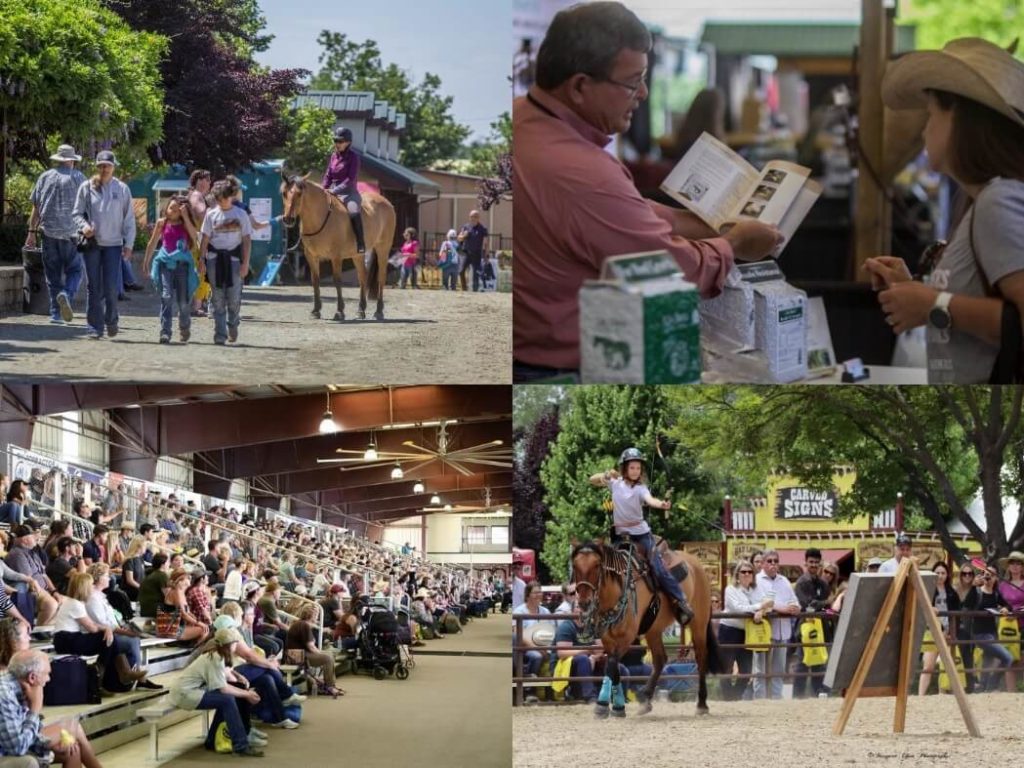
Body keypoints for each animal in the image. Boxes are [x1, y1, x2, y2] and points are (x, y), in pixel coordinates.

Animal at [280, 175, 395, 321]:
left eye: (299, 194)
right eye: (284, 193)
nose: (288, 219)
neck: (321, 216)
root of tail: (386, 202)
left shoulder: (336, 256)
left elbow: (337, 280)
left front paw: (340, 311)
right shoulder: (311, 256)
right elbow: (315, 280)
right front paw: (316, 310)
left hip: (382, 249)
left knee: (381, 277)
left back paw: (379, 311)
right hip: (357, 254)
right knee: (362, 276)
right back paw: (361, 310)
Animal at [569, 536, 720, 720]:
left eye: (597, 565)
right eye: (575, 565)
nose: (584, 602)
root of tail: (697, 565)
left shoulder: (627, 636)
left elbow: (611, 665)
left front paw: (602, 706)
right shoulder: (608, 638)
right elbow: (614, 667)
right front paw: (618, 707)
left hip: (699, 622)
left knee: (700, 657)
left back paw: (702, 704)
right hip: (653, 629)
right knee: (660, 659)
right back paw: (646, 699)